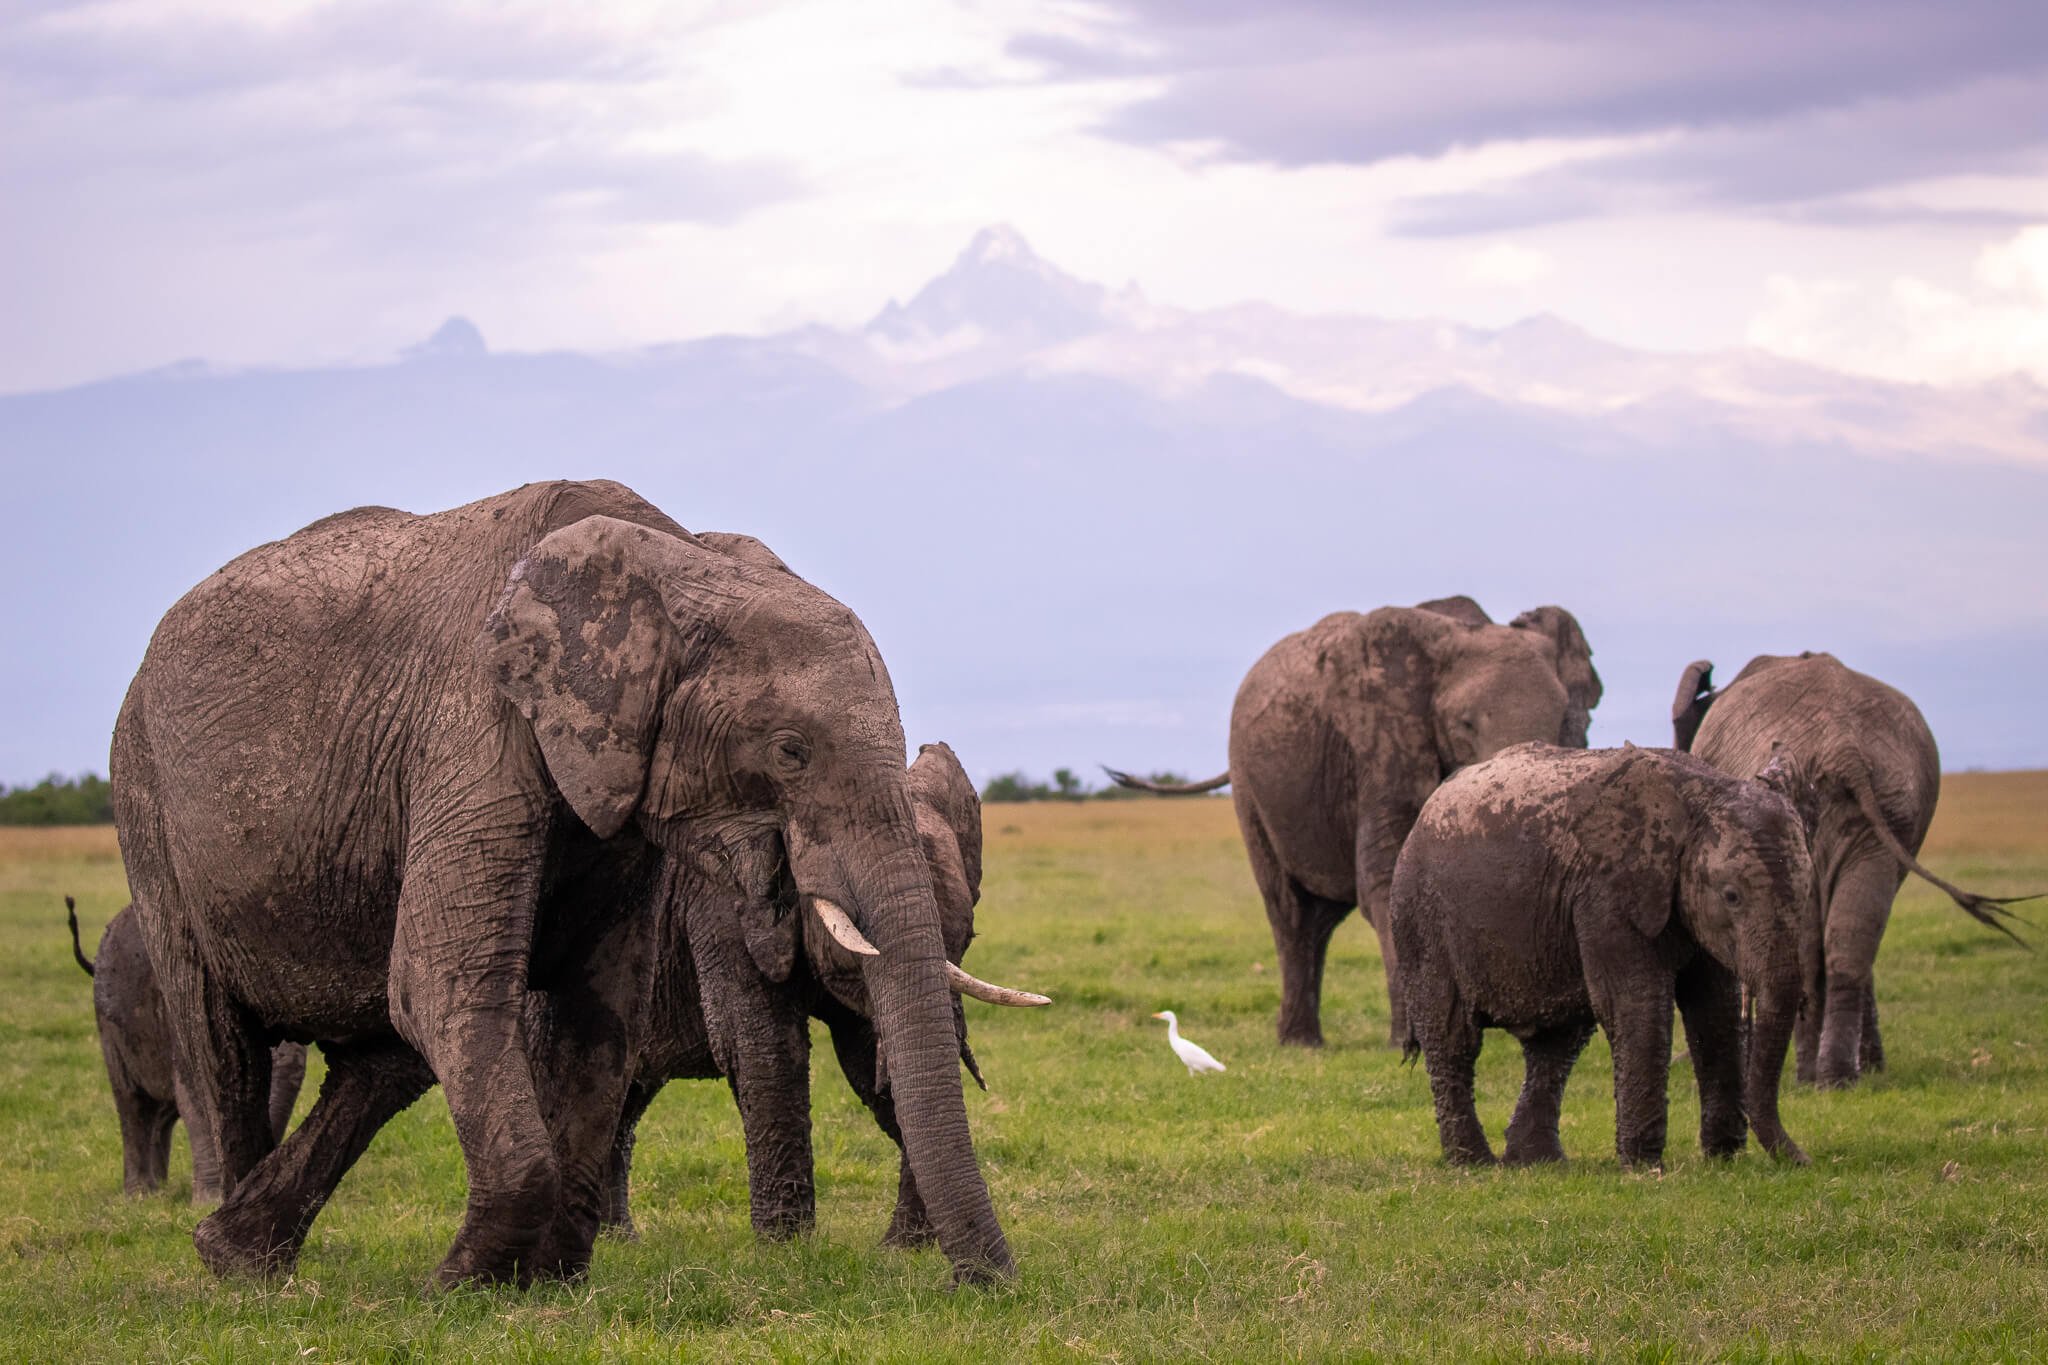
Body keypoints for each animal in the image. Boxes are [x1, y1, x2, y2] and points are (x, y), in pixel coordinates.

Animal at [66, 898, 307, 1199]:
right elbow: (193, 1094)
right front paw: (209, 1201)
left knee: (162, 1112)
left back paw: (162, 1189)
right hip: (109, 1025)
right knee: (132, 1101)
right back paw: (141, 1196)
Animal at [600, 739, 1016, 1248]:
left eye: (966, 937)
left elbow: (864, 1061)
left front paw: (902, 1251)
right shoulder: (718, 906)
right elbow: (766, 1046)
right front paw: (786, 1249)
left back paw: (619, 1242)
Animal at [1108, 597, 1602, 1047]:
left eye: (1566, 720)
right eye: (1464, 724)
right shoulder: (1383, 745)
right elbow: (1389, 879)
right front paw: (1412, 1043)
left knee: (1320, 920)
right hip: (1251, 790)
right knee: (1289, 910)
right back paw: (1301, 1044)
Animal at [1391, 743, 1813, 1169]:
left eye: (1808, 889)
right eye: (1732, 896)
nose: (1804, 1161)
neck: (1697, 794)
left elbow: (1714, 1009)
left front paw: (1722, 1159)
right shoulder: (1608, 893)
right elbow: (1636, 1002)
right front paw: (1644, 1166)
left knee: (1558, 1042)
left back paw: (1539, 1162)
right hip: (1421, 919)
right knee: (1453, 1036)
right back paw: (1474, 1163)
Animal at [1672, 652, 2033, 1088]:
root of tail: (1844, 748)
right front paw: (1874, 1067)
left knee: (1812, 946)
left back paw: (1809, 1076)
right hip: (1892, 805)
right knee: (1851, 938)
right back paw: (1837, 1077)